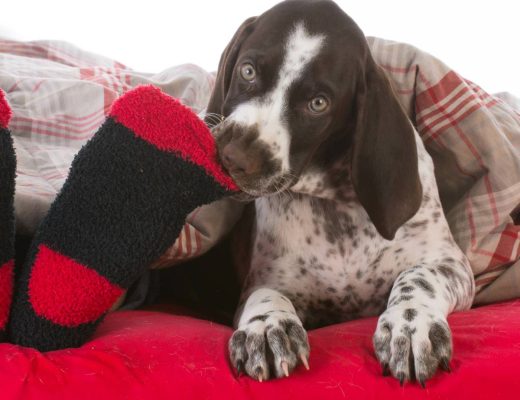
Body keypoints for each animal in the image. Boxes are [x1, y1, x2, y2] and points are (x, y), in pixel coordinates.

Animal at [203, 0, 476, 388]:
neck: (336, 207)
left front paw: (410, 325)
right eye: (248, 70)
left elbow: (417, 278)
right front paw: (267, 326)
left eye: (318, 103)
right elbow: (264, 294)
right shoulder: (269, 279)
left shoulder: (450, 263)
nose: (234, 159)